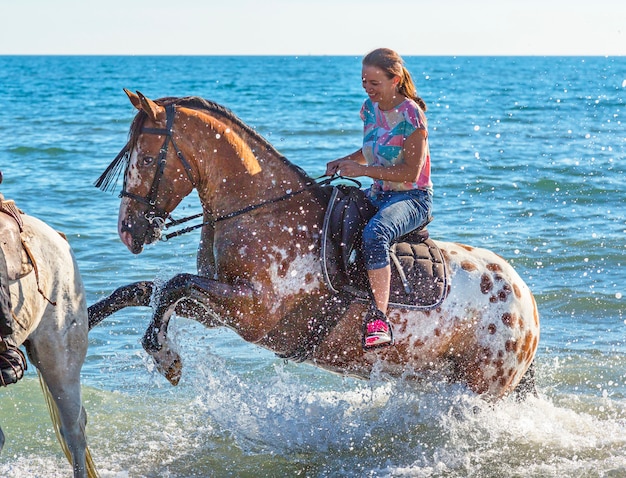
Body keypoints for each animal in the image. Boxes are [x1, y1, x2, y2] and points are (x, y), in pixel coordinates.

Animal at [90, 88, 540, 400]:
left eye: (147, 160)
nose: (128, 231)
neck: (263, 210)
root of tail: (528, 305)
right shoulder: (221, 309)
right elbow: (144, 290)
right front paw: (86, 318)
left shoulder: (254, 311)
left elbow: (173, 285)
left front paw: (165, 358)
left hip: (480, 386)